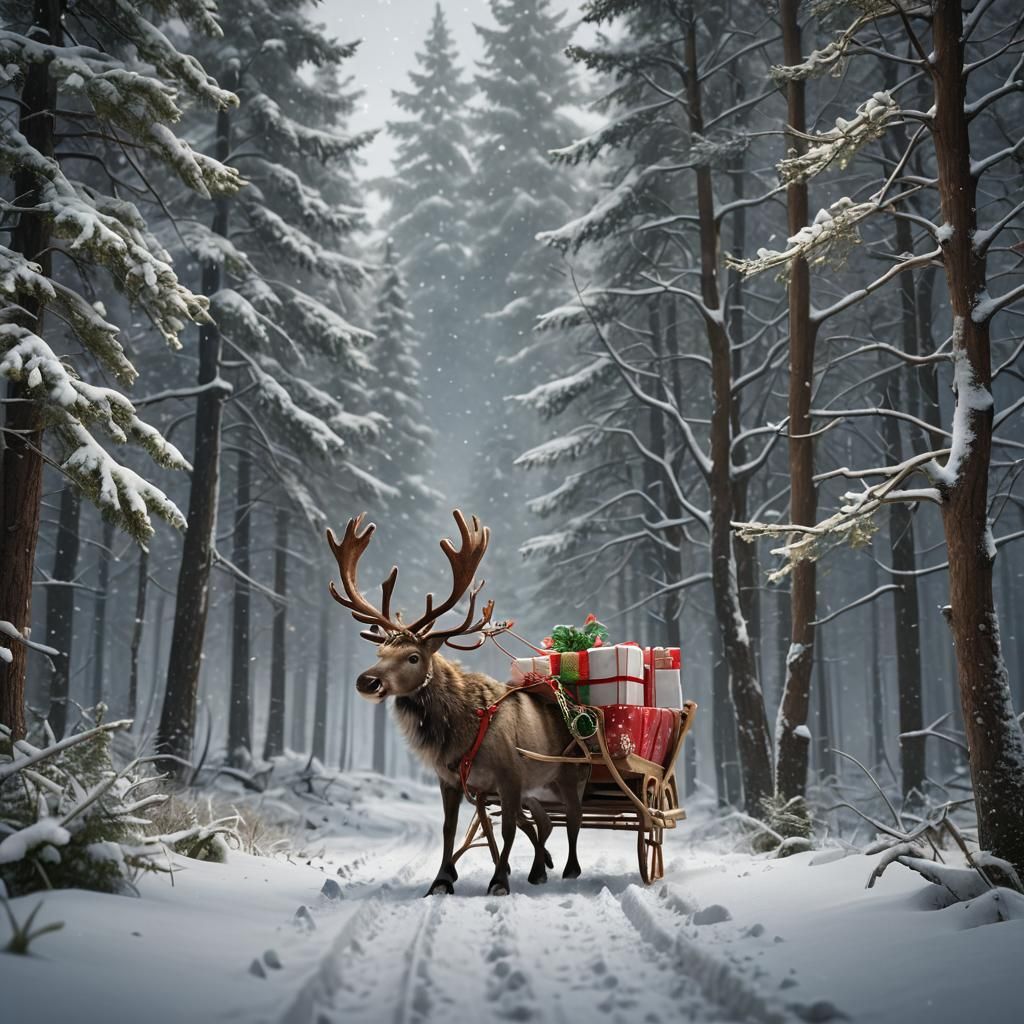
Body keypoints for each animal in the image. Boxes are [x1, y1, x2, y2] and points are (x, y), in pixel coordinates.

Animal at [327, 509, 587, 897]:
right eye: (380, 652)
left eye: (413, 657)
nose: (366, 681)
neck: (458, 733)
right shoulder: (452, 781)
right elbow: (451, 830)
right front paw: (442, 879)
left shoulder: (509, 775)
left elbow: (507, 829)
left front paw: (499, 881)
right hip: (538, 787)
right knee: (543, 821)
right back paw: (539, 870)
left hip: (567, 773)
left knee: (572, 817)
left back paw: (569, 868)